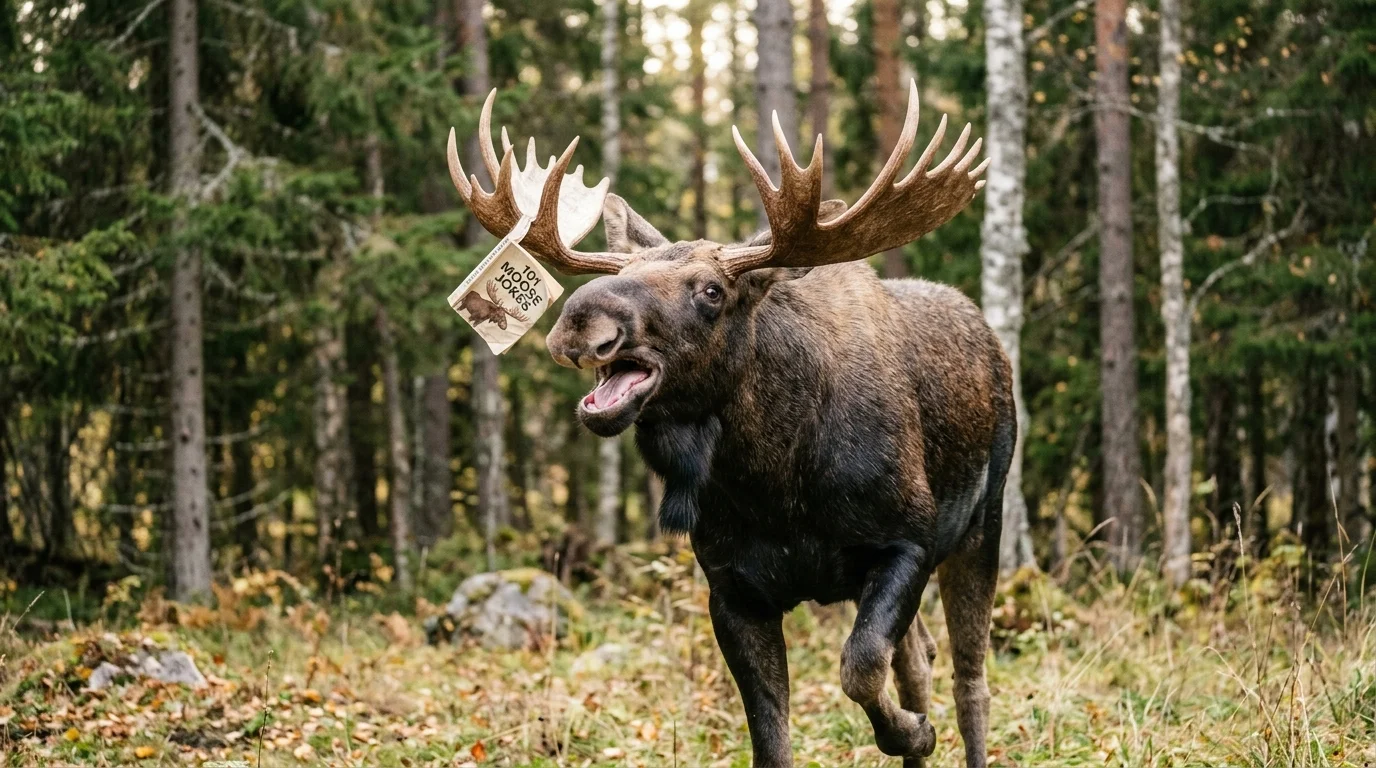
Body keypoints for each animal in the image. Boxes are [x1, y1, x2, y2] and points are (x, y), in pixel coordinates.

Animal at [446, 83, 1009, 768]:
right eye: (613, 275)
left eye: (712, 290)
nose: (581, 317)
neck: (776, 481)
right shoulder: (733, 588)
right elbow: (773, 733)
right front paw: (909, 732)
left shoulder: (908, 540)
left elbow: (859, 666)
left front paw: (914, 731)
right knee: (920, 655)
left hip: (983, 522)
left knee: (969, 678)